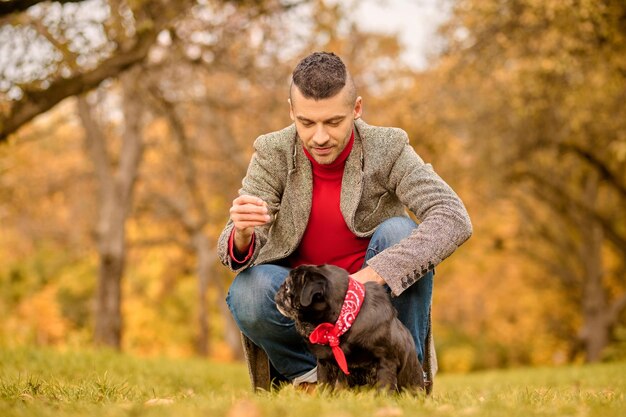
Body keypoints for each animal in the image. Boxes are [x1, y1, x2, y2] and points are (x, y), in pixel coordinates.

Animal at [274, 264, 424, 390]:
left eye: (287, 287)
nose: (279, 290)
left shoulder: (386, 363)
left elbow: (384, 390)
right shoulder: (325, 364)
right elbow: (324, 388)